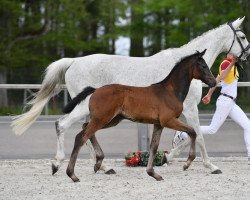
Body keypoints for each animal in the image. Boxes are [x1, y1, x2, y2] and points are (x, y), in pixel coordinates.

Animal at [63, 49, 216, 181]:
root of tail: (95, 90)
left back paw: (98, 163)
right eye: (203, 65)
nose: (214, 82)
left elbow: (154, 146)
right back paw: (73, 174)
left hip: (110, 120)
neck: (170, 92)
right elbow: (193, 132)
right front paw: (187, 163)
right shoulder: (168, 120)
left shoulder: (158, 124)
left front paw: (153, 173)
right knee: (81, 137)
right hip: (102, 119)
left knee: (85, 128)